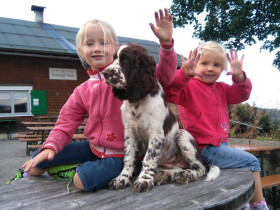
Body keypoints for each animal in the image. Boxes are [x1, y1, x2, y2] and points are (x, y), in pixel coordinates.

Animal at [101, 43, 220, 193]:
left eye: (125, 60)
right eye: (114, 58)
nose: (104, 73)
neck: (137, 101)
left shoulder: (155, 133)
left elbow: (148, 158)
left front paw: (144, 180)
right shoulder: (129, 133)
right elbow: (128, 157)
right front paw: (122, 178)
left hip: (182, 135)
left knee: (200, 167)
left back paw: (186, 174)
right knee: (176, 169)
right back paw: (164, 176)